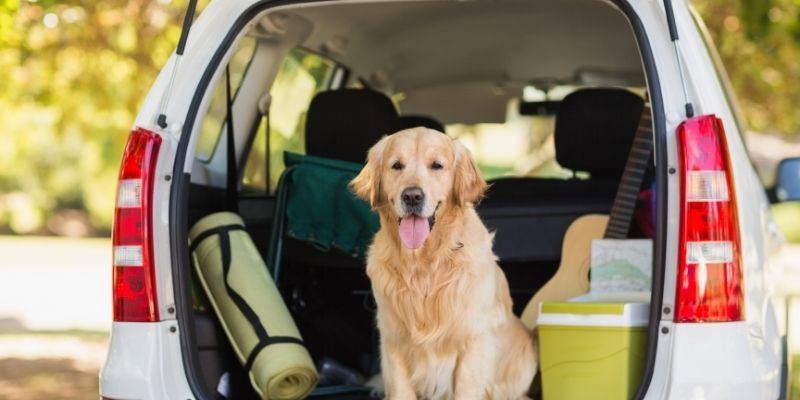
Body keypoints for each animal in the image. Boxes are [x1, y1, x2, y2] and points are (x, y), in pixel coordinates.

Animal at [350, 127, 536, 396]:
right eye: (396, 165)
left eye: (436, 165)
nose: (412, 196)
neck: (424, 264)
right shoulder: (393, 341)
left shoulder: (474, 342)